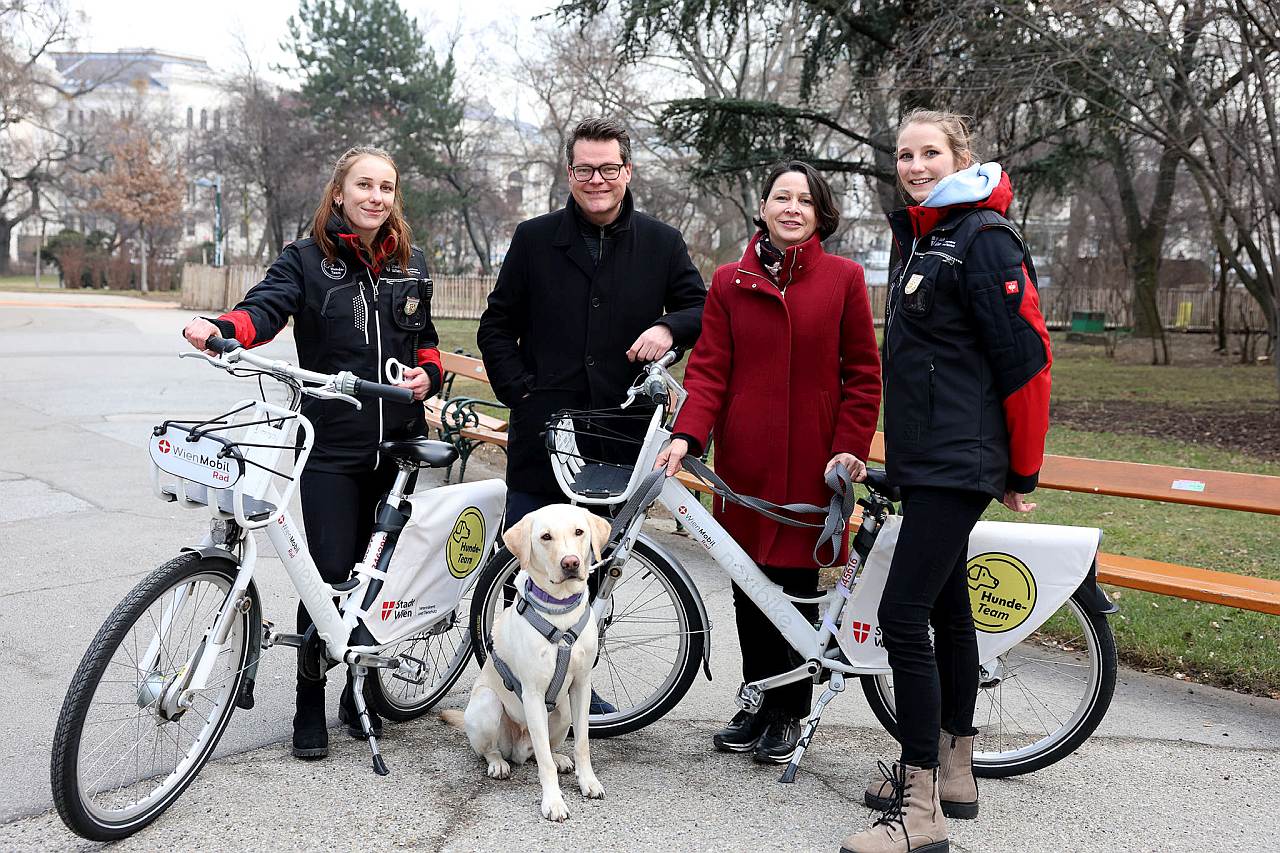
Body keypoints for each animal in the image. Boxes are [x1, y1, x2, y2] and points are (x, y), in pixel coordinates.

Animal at [442, 502, 611, 819]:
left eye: (579, 532)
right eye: (545, 537)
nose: (571, 563)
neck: (559, 612)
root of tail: (519, 749)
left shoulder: (581, 686)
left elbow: (582, 744)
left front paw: (588, 782)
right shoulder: (533, 694)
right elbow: (543, 764)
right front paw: (553, 802)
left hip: (564, 712)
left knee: (542, 750)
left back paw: (559, 758)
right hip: (488, 704)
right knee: (496, 751)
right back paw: (499, 763)